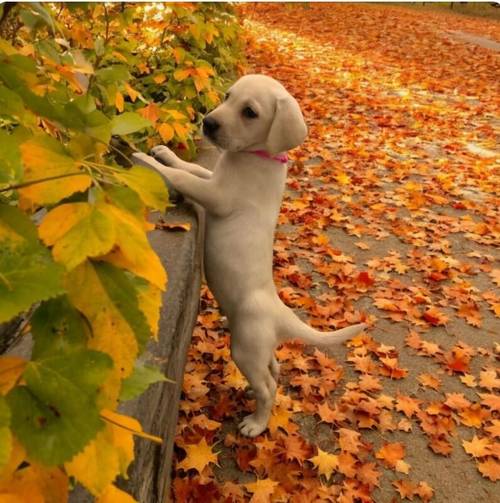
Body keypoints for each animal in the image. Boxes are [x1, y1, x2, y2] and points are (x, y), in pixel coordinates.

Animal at [133, 74, 366, 438]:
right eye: (227, 96)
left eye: (250, 112)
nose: (208, 122)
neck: (260, 156)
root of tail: (282, 314)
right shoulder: (212, 177)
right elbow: (189, 167)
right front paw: (163, 152)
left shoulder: (217, 194)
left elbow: (182, 176)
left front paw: (145, 160)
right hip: (258, 349)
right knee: (273, 369)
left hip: (244, 347)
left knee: (269, 387)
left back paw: (256, 423)